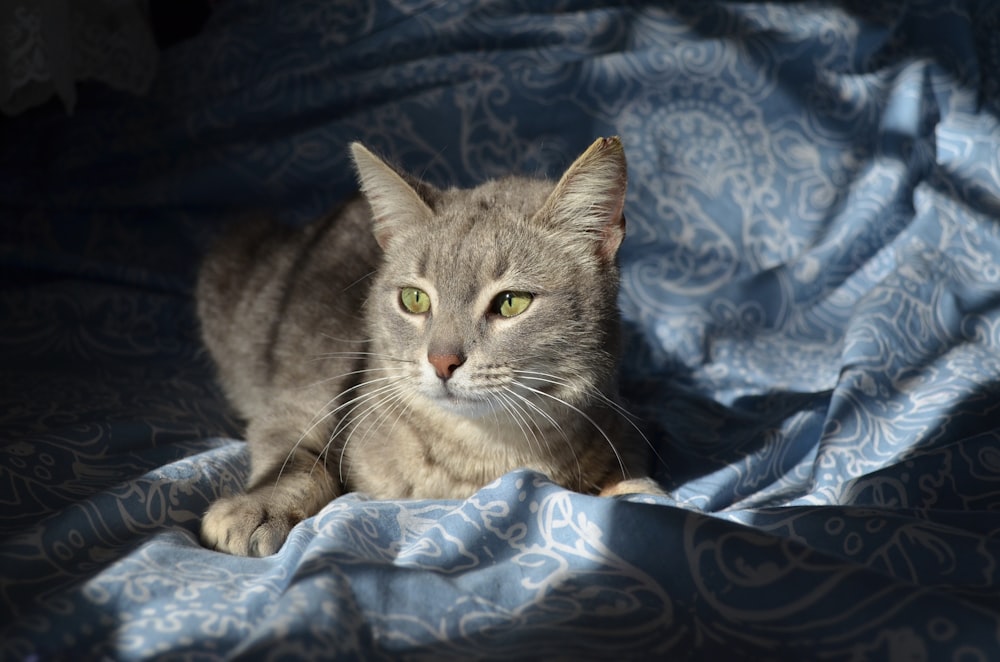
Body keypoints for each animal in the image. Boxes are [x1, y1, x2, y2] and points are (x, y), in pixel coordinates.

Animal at [198, 137, 660, 556]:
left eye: (511, 302)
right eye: (414, 299)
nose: (442, 361)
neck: (479, 455)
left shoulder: (620, 423)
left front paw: (632, 494)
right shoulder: (299, 404)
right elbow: (299, 462)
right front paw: (258, 507)